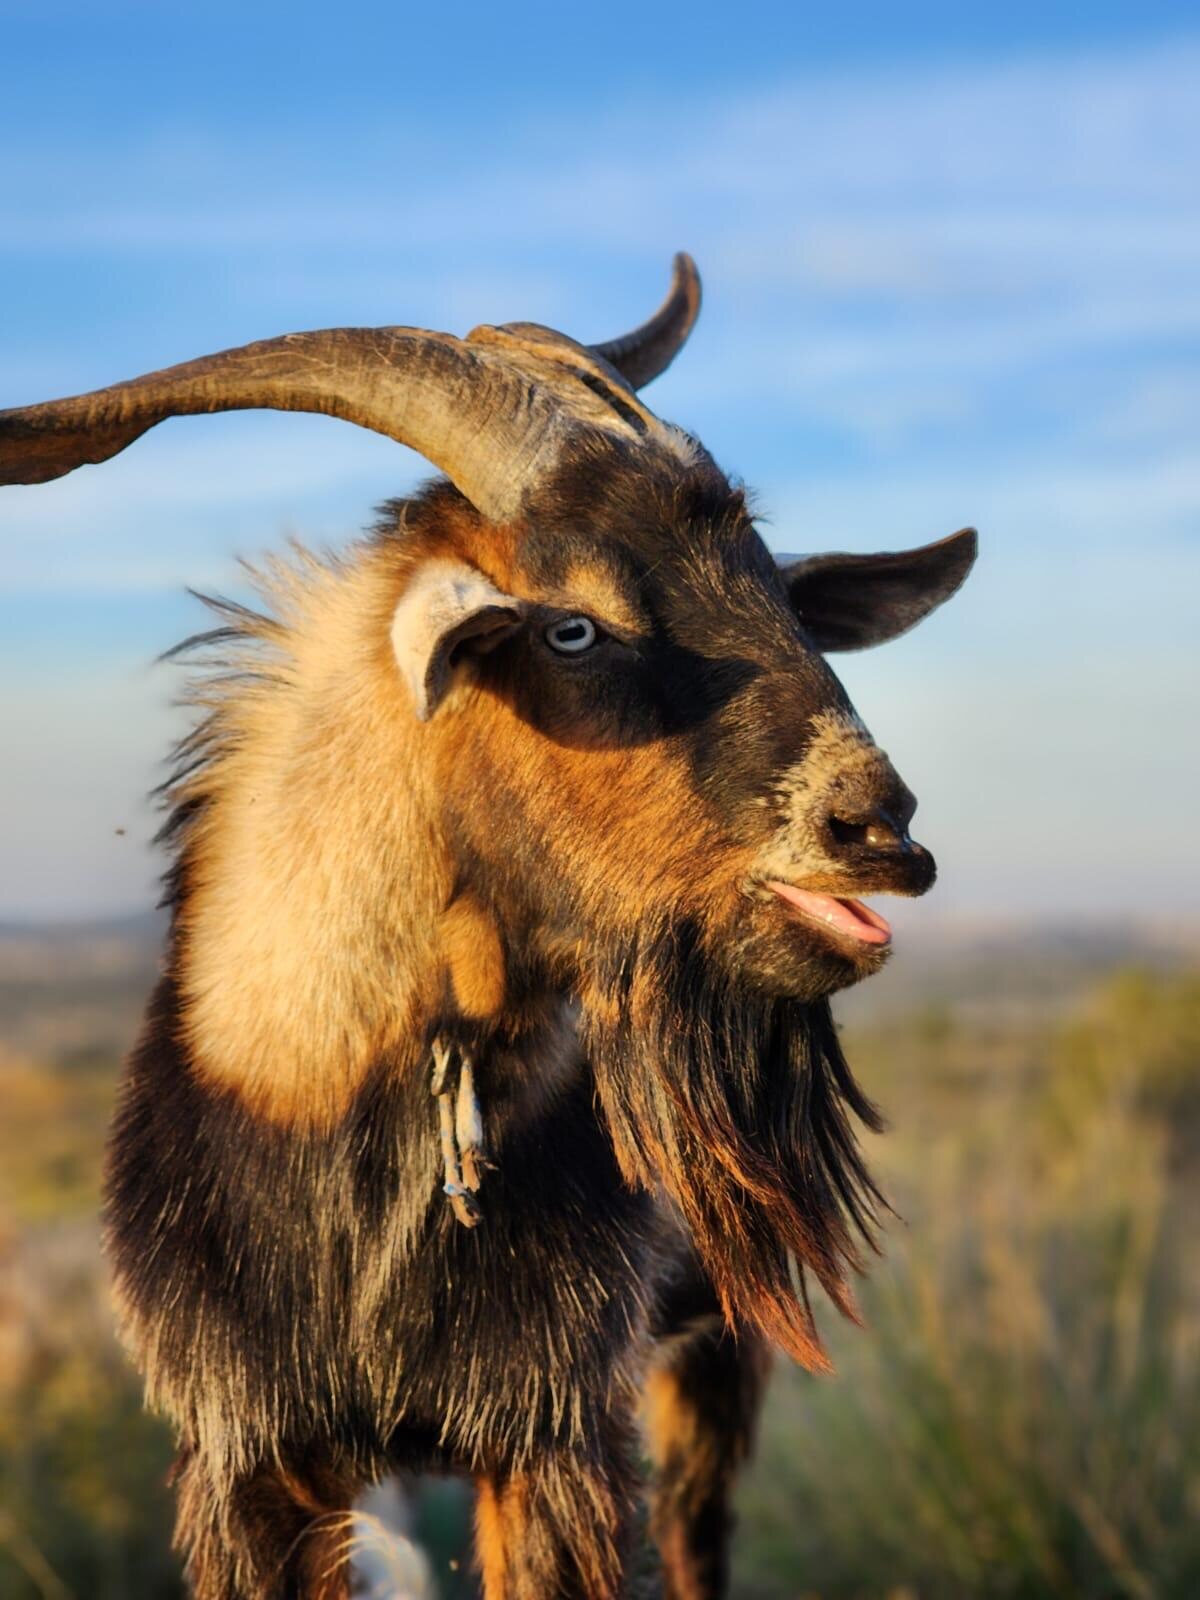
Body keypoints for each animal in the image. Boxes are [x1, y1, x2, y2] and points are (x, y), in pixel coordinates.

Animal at [0, 256, 976, 1599]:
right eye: (571, 625)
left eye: (780, 590)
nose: (878, 826)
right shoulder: (248, 1455)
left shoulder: (555, 1429)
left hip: (711, 1355)